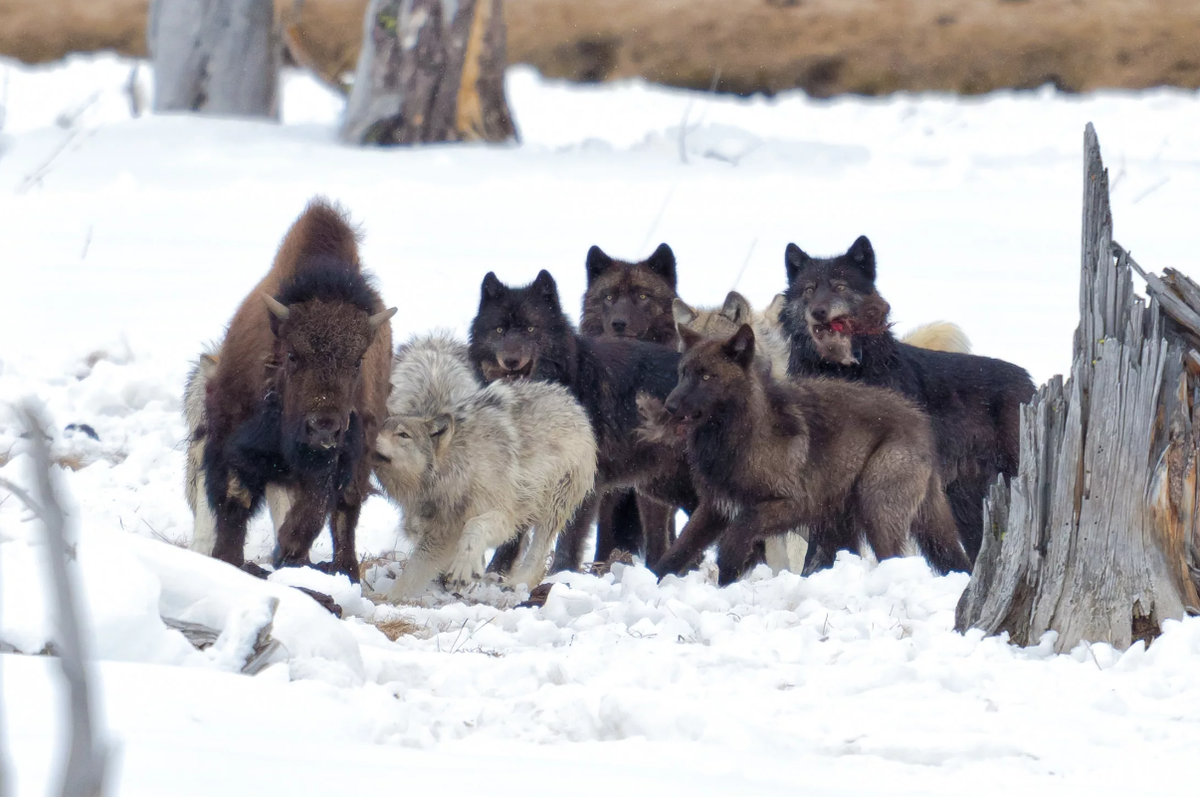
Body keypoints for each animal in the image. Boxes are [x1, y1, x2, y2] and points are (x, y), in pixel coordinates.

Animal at [201, 198, 396, 578]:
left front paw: (289, 548)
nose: (323, 426)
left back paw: (345, 570)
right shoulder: (232, 441)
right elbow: (234, 501)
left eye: (357, 361)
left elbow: (317, 507)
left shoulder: (337, 455)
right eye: (292, 354)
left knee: (345, 513)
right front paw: (227, 560)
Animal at [648, 321, 974, 585]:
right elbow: (679, 550)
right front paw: (656, 581)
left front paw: (729, 570)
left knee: (894, 558)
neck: (740, 433)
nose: (670, 406)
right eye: (683, 373)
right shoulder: (714, 507)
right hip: (841, 522)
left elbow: (739, 530)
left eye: (706, 377)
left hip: (875, 509)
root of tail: (921, 422)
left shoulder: (794, 504)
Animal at [777, 236, 1032, 566]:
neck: (842, 371)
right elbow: (820, 550)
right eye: (808, 290)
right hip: (965, 505)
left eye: (840, 287)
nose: (818, 312)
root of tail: (1028, 380)